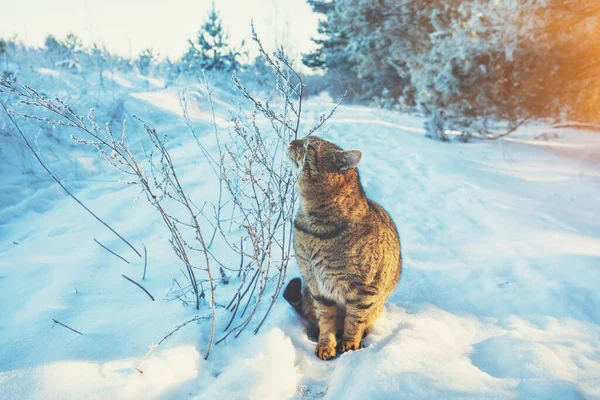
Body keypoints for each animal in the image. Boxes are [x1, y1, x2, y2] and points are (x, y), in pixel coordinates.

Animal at [282, 135, 404, 360]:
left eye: (310, 145)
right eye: (304, 139)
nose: (293, 141)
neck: (315, 228)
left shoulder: (364, 289)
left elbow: (354, 319)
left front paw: (349, 342)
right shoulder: (317, 287)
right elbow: (326, 319)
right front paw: (325, 343)